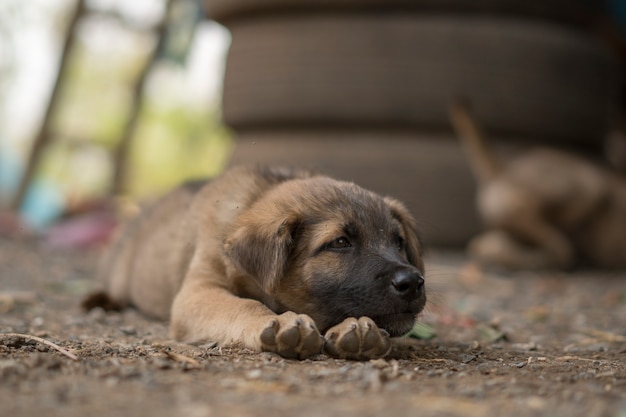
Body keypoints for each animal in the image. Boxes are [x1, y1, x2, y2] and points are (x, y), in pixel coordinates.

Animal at [86, 165, 424, 358]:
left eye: (399, 242)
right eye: (340, 242)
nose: (413, 282)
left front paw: (358, 329)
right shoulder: (198, 291)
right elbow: (244, 305)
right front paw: (276, 322)